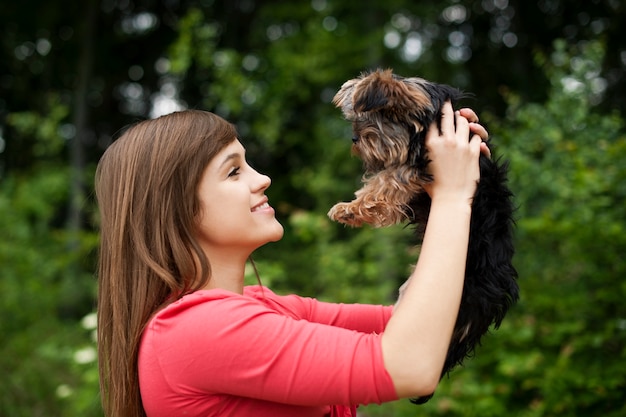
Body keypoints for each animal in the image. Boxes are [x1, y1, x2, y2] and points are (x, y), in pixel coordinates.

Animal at [326, 68, 516, 404]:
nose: (354, 138)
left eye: (371, 118)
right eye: (355, 119)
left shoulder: (417, 163)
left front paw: (351, 208)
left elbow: (387, 180)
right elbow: (381, 180)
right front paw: (353, 206)